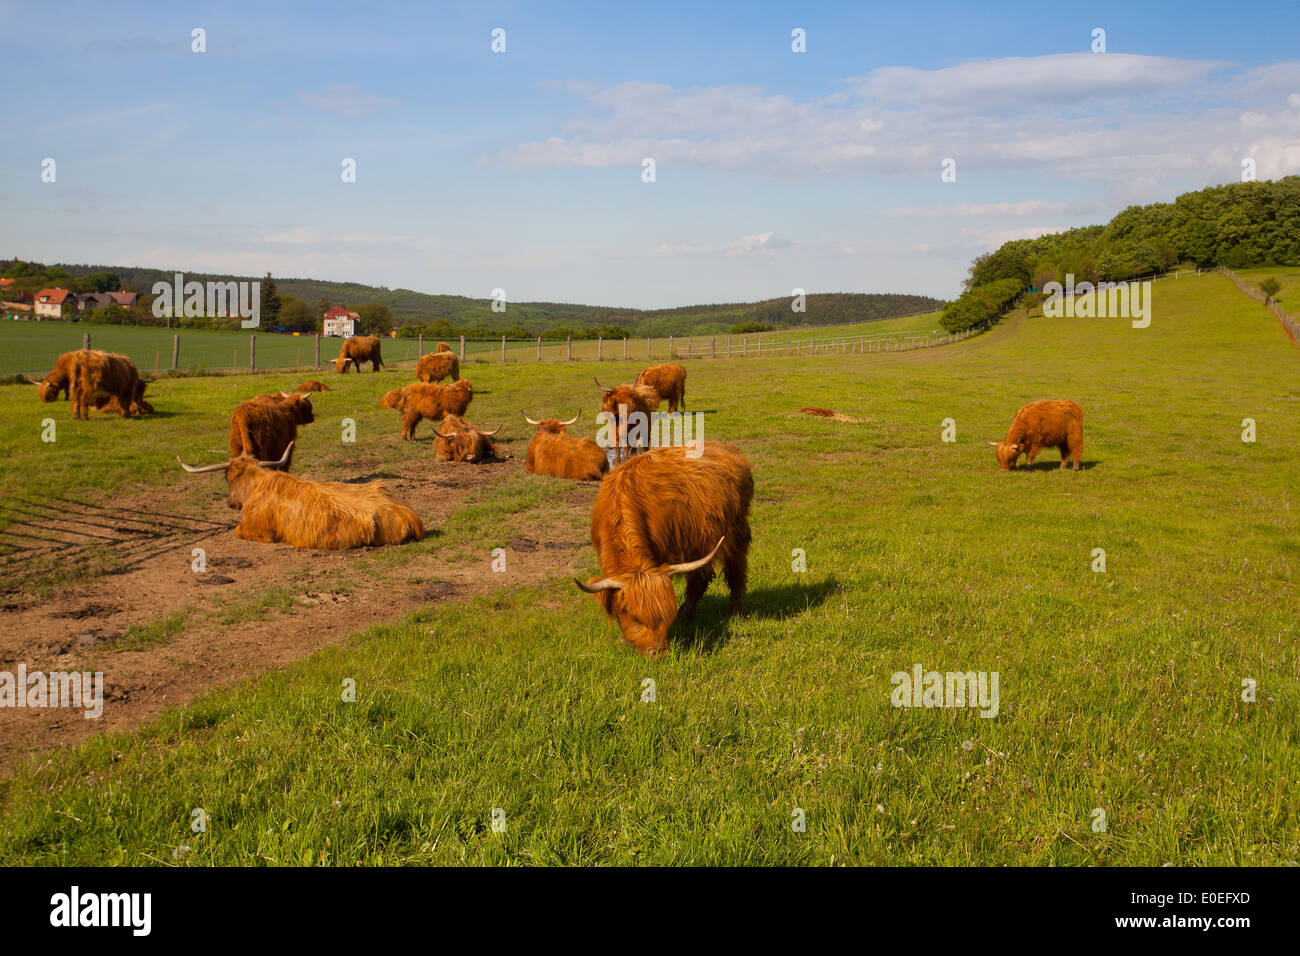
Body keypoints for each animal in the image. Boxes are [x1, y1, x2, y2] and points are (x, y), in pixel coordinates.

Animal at [175, 442, 421, 548]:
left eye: (227, 479)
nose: (230, 503)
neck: (257, 485)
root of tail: (408, 516)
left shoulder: (256, 528)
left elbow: (238, 531)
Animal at [577, 442, 754, 658]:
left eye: (664, 617)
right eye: (635, 618)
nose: (657, 653)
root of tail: (727, 449)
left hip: (734, 532)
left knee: (734, 572)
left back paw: (733, 612)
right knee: (702, 577)